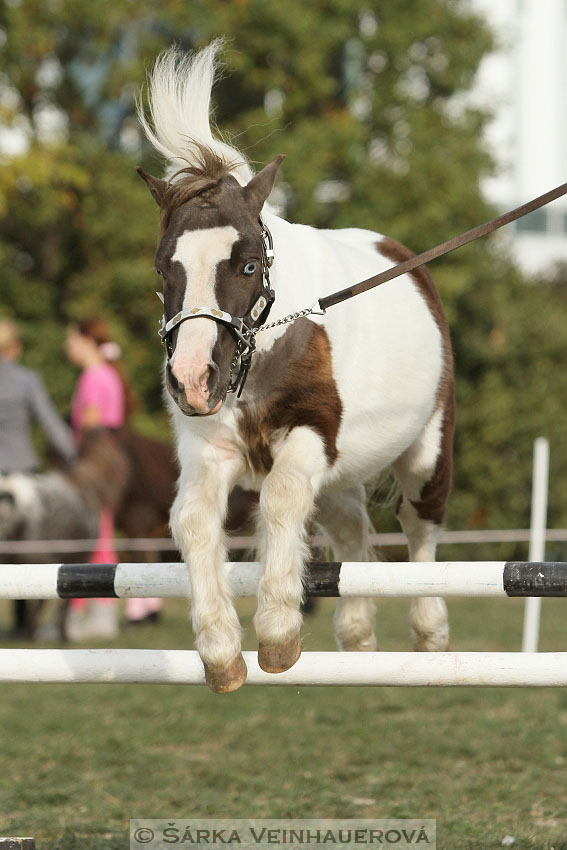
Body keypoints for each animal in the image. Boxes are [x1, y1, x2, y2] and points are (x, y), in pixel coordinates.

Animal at [135, 41, 454, 688]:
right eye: (163, 267)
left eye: (250, 265)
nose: (191, 381)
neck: (262, 357)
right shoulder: (210, 451)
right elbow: (193, 521)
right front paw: (222, 653)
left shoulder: (310, 435)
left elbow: (279, 498)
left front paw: (279, 633)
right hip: (341, 475)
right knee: (351, 530)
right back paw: (357, 639)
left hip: (426, 451)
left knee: (419, 529)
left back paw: (430, 635)